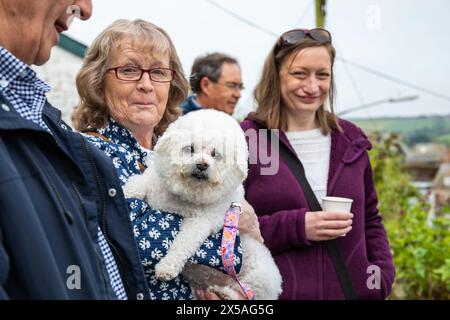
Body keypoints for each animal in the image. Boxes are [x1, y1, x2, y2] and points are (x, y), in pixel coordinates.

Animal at [123, 110, 282, 300]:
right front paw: (123, 192)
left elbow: (183, 243)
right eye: (190, 148)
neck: (186, 196)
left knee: (246, 292)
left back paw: (226, 293)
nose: (202, 165)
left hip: (261, 277)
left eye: (215, 154)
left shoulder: (200, 223)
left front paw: (166, 267)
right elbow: (138, 183)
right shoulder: (153, 181)